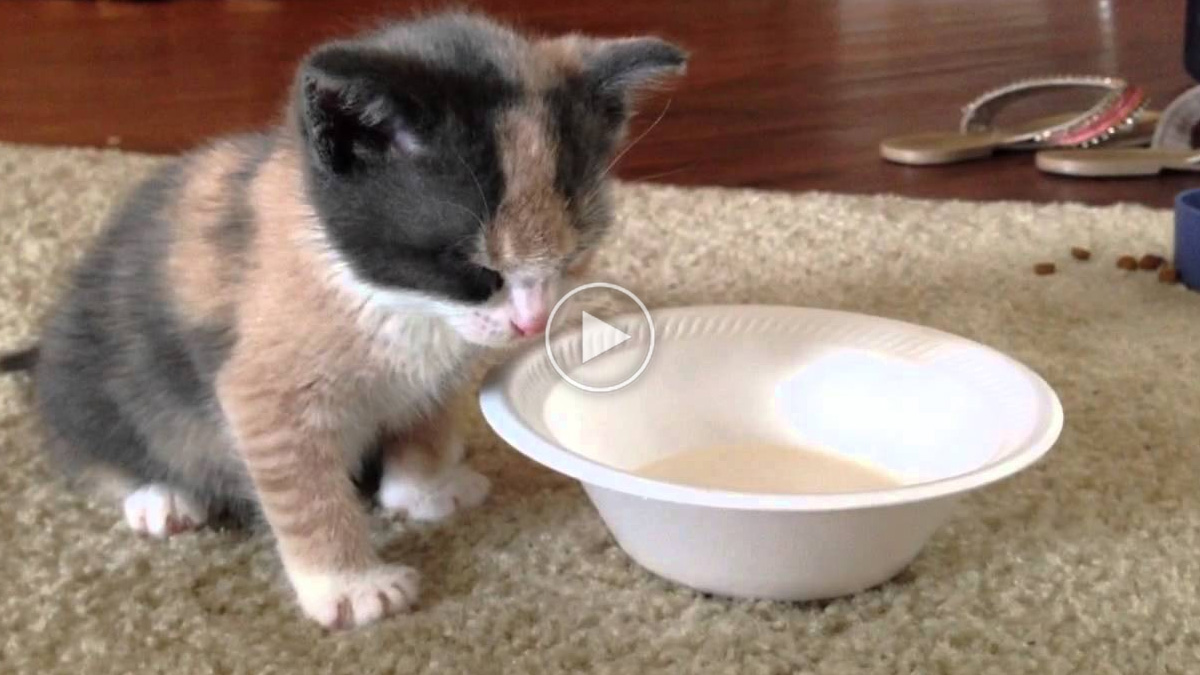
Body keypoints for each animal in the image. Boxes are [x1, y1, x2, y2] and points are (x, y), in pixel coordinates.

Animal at [0, 13, 691, 629]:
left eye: (574, 255)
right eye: (472, 269)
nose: (530, 323)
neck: (394, 302)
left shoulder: (440, 369)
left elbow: (425, 414)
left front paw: (423, 486)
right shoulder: (266, 386)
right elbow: (304, 490)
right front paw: (349, 586)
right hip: (98, 380)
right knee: (86, 442)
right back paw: (157, 493)